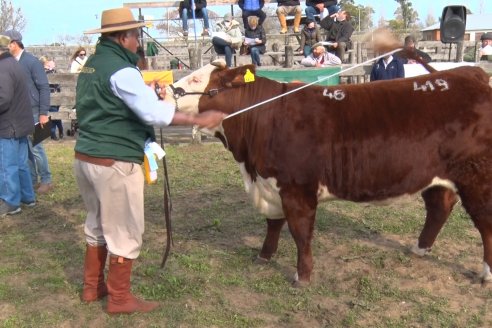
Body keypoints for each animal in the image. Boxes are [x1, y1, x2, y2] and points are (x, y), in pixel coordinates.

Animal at [164, 60, 492, 286]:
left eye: (198, 78)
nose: (166, 92)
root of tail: (471, 73)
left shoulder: (297, 189)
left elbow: (300, 233)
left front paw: (302, 276)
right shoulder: (272, 187)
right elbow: (273, 224)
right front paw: (264, 256)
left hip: (477, 178)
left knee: (484, 222)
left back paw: (485, 273)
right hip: (436, 176)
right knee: (440, 206)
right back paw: (420, 248)